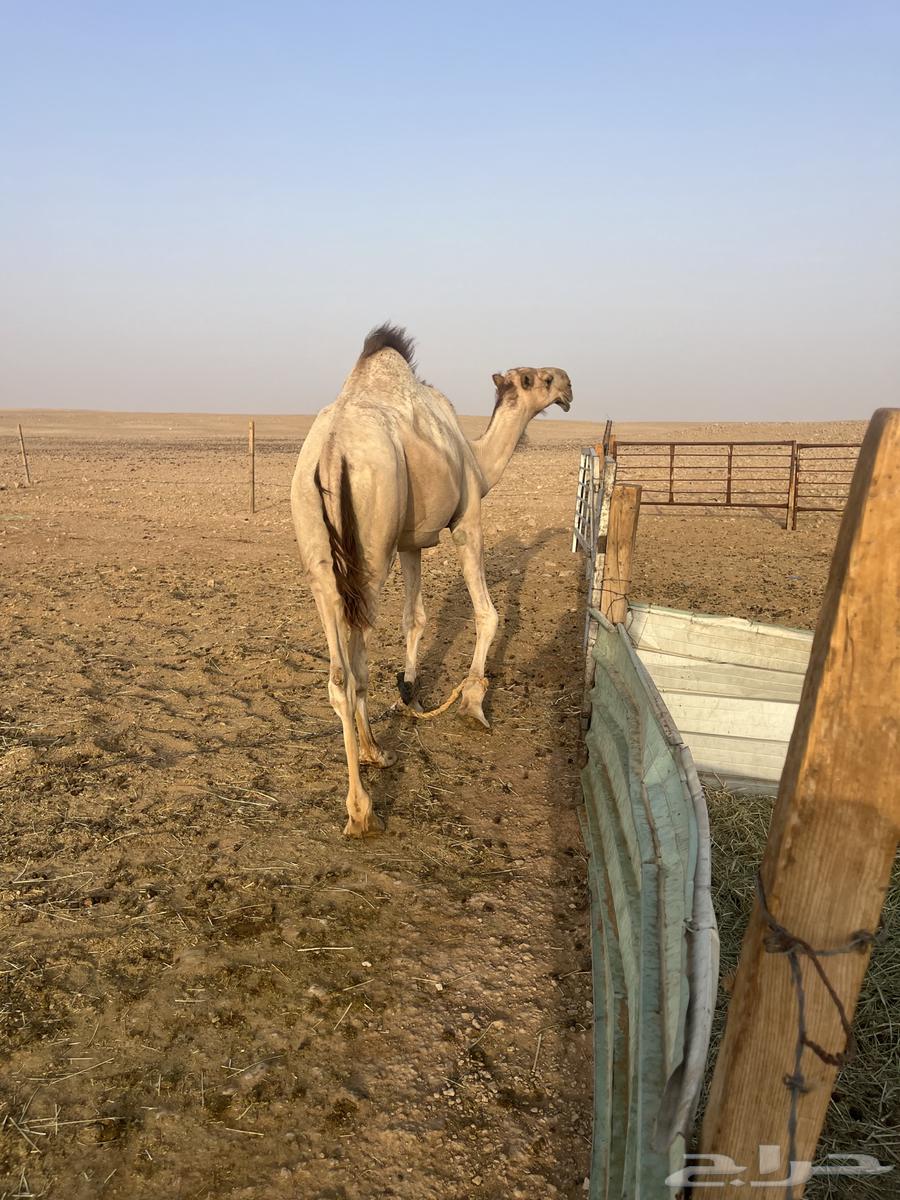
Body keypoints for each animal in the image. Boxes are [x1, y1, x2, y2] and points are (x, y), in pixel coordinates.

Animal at [291, 324, 573, 836]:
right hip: (370, 548)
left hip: (318, 546)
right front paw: (474, 703)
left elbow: (415, 618)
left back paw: (373, 758)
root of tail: (332, 450)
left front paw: (409, 690)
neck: (477, 459)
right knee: (356, 667)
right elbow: (487, 612)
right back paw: (364, 801)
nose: (567, 383)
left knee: (339, 672)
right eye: (536, 379)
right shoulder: (467, 519)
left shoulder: (410, 542)